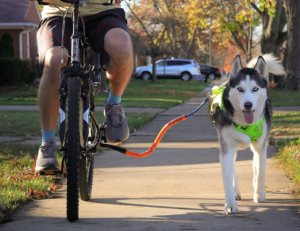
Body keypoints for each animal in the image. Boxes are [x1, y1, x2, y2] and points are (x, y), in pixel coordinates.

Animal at [210, 53, 284, 214]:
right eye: (240, 89)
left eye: (255, 89)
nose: (248, 105)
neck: (245, 124)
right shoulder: (227, 149)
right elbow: (228, 177)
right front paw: (230, 204)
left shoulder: (261, 147)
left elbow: (261, 171)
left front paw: (259, 194)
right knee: (234, 169)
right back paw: (237, 191)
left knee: (255, 165)